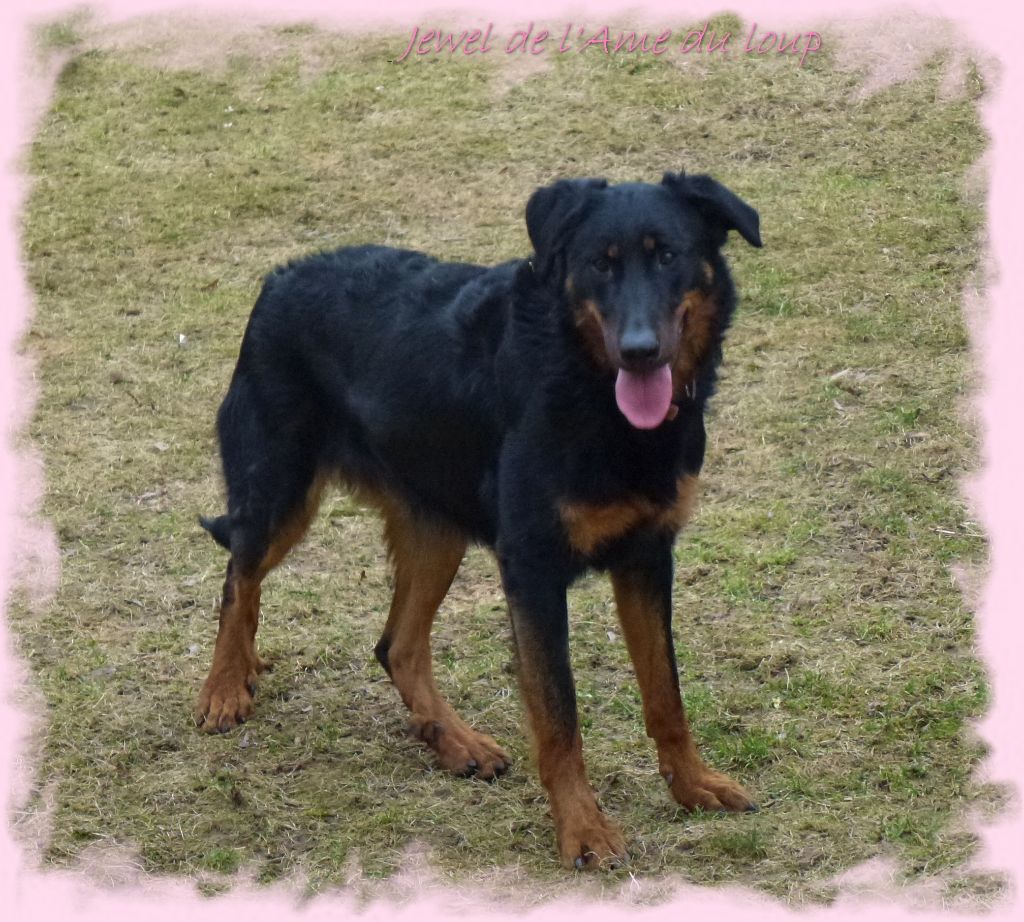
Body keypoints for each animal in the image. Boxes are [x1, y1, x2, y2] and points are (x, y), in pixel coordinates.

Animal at [196, 172, 762, 870]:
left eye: (669, 257)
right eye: (598, 264)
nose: (638, 352)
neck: (586, 383)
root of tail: (279, 278)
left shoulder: (647, 558)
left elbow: (666, 694)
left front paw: (692, 784)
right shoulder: (534, 573)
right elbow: (559, 717)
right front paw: (583, 830)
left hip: (438, 529)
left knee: (396, 646)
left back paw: (453, 741)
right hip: (281, 495)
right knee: (239, 578)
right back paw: (226, 685)